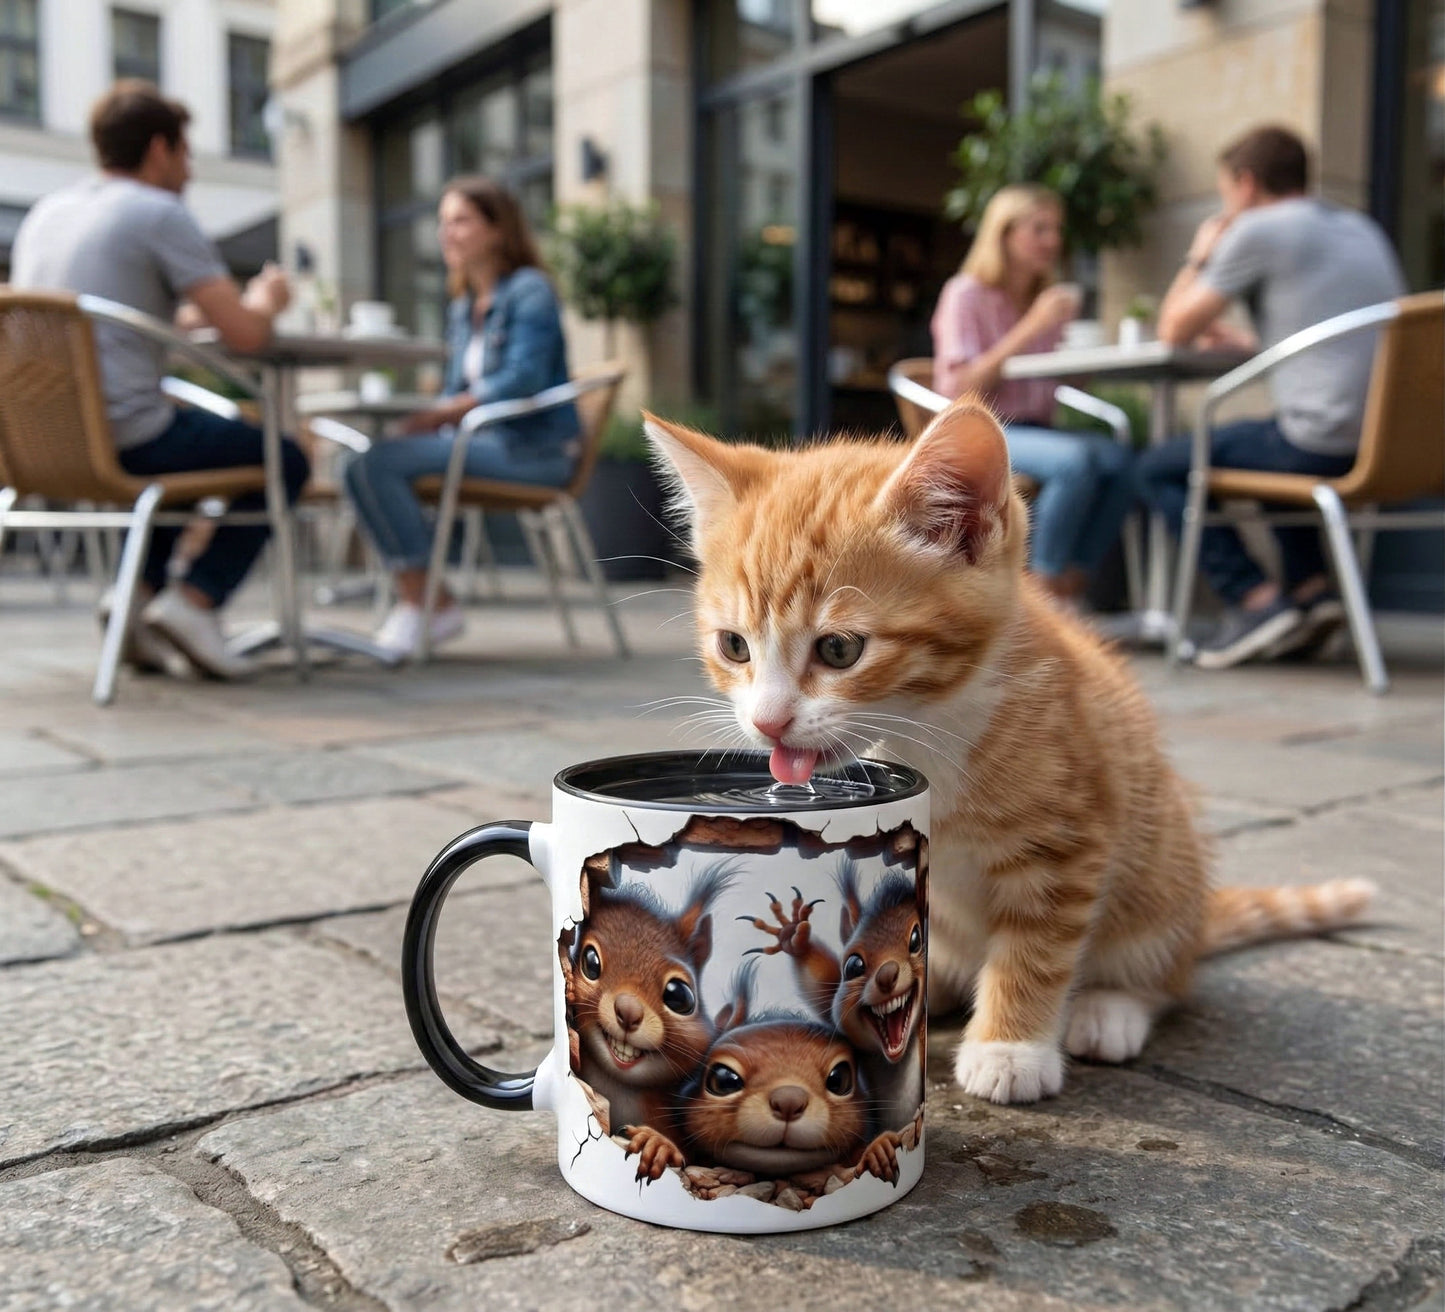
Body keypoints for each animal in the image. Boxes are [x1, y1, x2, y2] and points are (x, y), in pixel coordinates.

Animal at [744, 856, 925, 1137]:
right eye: (853, 965)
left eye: (916, 939)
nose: (886, 975)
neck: (895, 1060)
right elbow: (823, 992)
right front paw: (794, 936)